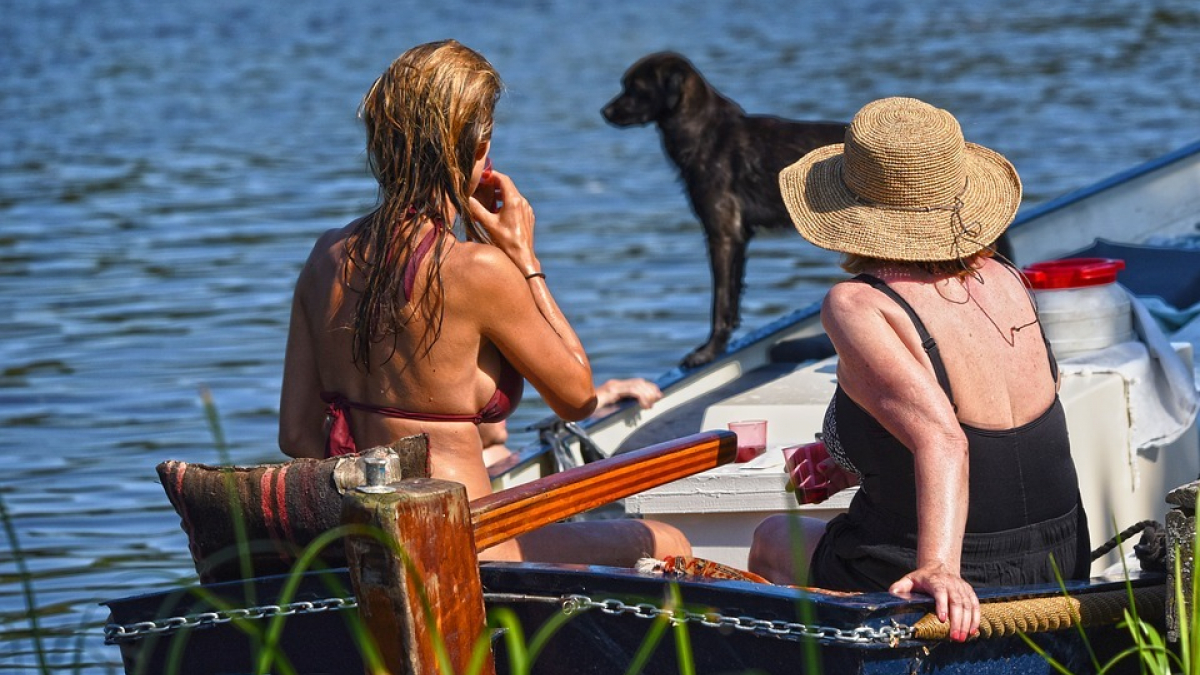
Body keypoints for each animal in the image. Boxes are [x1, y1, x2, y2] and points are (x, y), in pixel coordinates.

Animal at [600, 51, 844, 367]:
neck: (705, 132)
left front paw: (707, 352)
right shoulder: (737, 236)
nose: (604, 112)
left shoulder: (722, 234)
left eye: (635, 88)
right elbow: (732, 301)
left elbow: (720, 302)